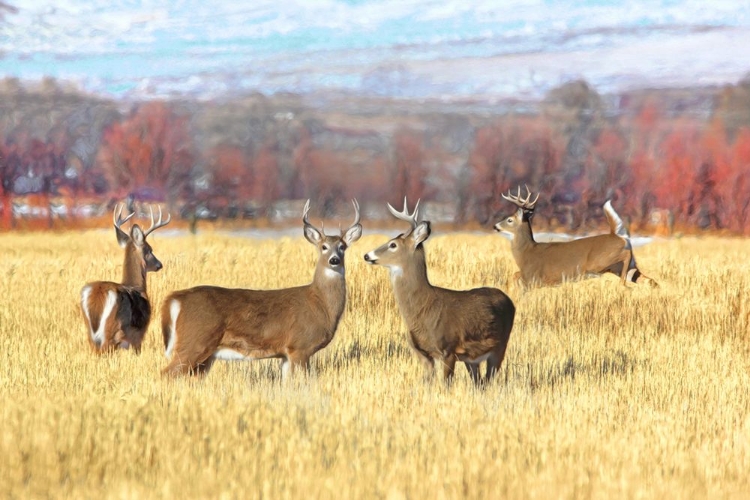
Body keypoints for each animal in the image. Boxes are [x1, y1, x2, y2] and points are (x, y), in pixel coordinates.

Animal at [81, 204, 172, 356]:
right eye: (150, 249)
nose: (159, 264)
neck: (136, 286)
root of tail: (98, 295)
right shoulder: (139, 334)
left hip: (90, 332)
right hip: (113, 329)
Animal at [162, 199, 364, 378]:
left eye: (342, 247)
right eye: (323, 247)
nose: (334, 260)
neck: (320, 303)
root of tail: (176, 298)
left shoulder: (285, 354)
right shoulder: (300, 346)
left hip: (204, 355)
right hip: (195, 341)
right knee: (167, 373)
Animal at [364, 199, 516, 386]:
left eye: (393, 245)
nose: (367, 255)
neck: (424, 308)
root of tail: (509, 300)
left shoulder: (448, 349)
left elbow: (445, 384)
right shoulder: (423, 354)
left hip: (500, 345)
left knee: (489, 379)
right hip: (472, 358)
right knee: (479, 383)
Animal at [496, 187, 660, 290]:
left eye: (509, 220)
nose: (495, 226)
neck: (526, 252)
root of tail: (618, 236)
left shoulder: (534, 276)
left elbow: (515, 277)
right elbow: (514, 276)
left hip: (600, 261)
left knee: (625, 259)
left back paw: (622, 285)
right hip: (622, 266)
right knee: (648, 280)